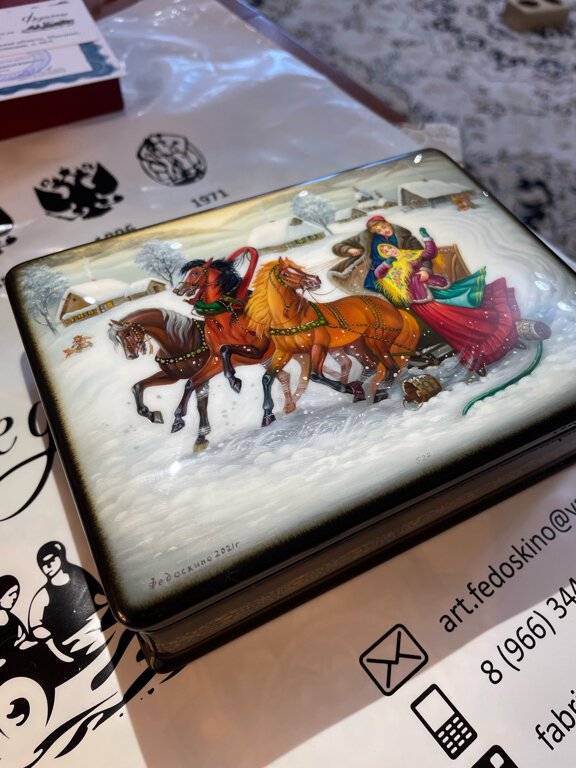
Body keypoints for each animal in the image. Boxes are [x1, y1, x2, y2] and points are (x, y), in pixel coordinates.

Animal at [108, 307, 224, 450]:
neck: (181, 342)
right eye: (118, 339)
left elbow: (200, 402)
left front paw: (198, 435)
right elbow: (138, 386)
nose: (130, 356)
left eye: (127, 334)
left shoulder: (202, 373)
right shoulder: (172, 377)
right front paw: (152, 415)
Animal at [244, 256, 421, 426]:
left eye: (296, 268)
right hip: (357, 345)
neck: (293, 320)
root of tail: (394, 309)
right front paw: (267, 416)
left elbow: (315, 375)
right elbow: (267, 378)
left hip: (377, 343)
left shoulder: (318, 346)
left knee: (391, 368)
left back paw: (377, 392)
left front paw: (346, 387)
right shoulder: (284, 352)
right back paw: (360, 390)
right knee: (371, 366)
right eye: (285, 273)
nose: (315, 280)